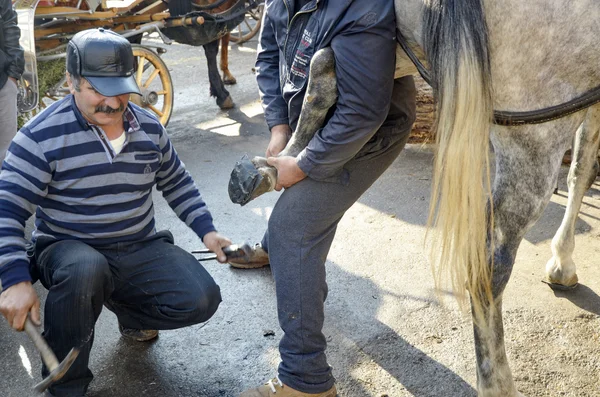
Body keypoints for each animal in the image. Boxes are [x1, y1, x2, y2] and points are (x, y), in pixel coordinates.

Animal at [227, 0, 596, 396]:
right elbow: (582, 171)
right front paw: (562, 264)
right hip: (535, 129)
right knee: (488, 267)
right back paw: (497, 383)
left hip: (400, 50)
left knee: (325, 67)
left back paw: (271, 167)